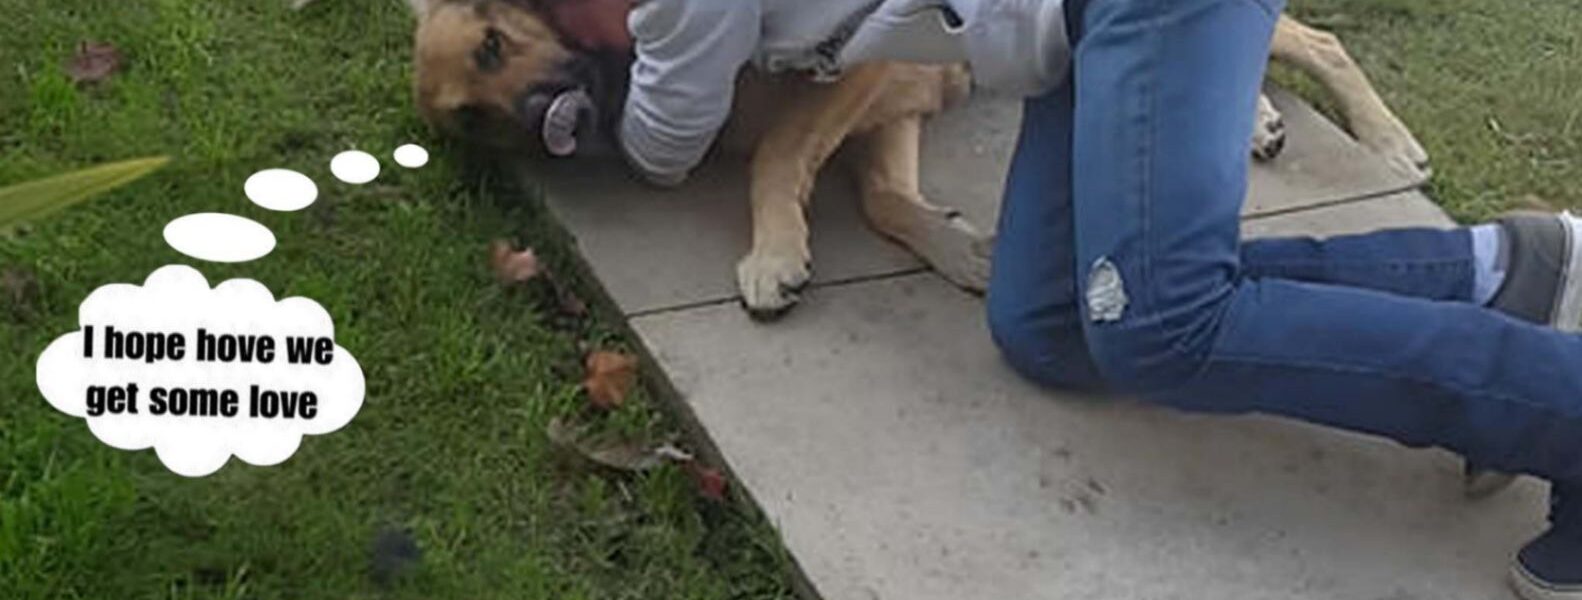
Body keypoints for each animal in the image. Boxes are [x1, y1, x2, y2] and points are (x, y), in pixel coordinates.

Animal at [401, 0, 1430, 316]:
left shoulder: (868, 65)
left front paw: (772, 251)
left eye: (494, 42)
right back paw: (1254, 118)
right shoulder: (890, 110)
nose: (550, 121)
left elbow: (778, 156)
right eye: (474, 118)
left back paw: (1387, 138)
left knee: (1316, 37)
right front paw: (958, 247)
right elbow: (884, 202)